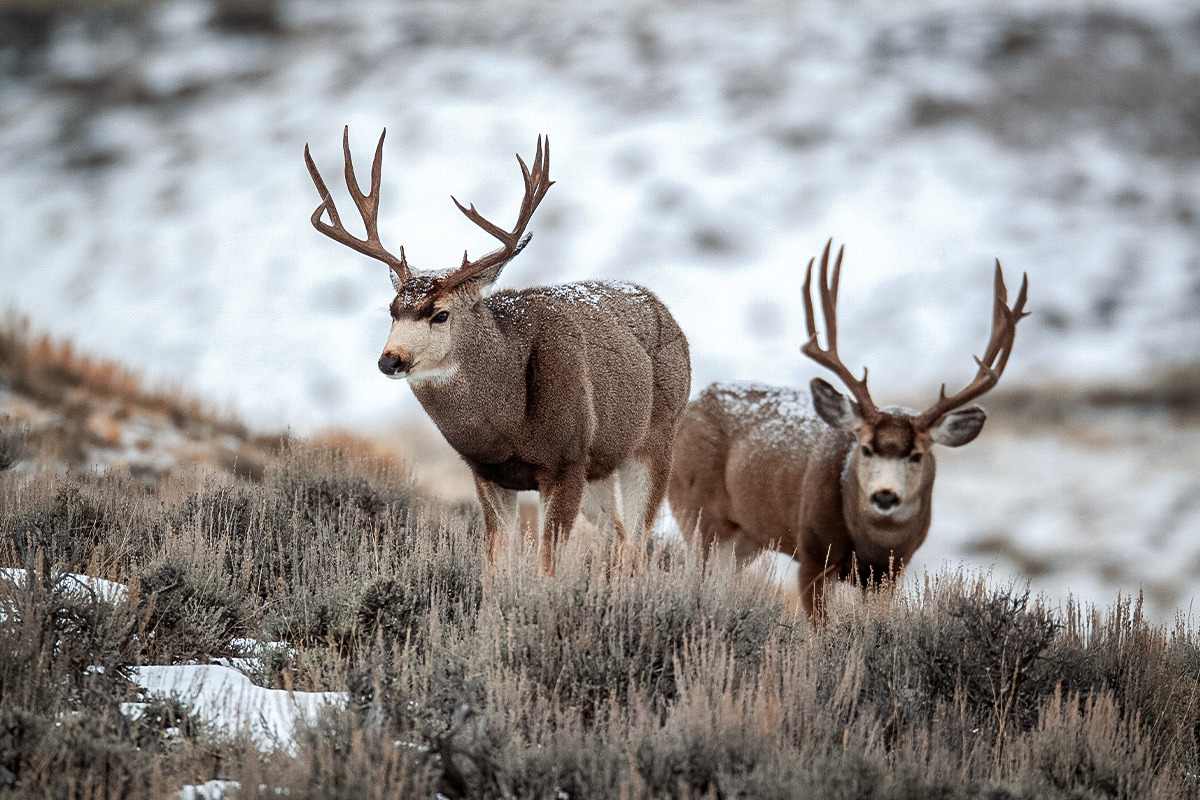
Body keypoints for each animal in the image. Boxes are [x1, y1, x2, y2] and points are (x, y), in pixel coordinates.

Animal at [304, 128, 691, 573]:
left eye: (440, 314)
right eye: (392, 310)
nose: (390, 359)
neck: (508, 425)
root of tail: (664, 309)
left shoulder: (567, 461)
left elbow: (546, 566)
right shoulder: (487, 472)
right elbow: (495, 562)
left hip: (656, 439)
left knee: (637, 544)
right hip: (602, 466)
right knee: (618, 537)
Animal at [672, 241, 1027, 618]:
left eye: (917, 455)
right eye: (866, 447)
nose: (884, 495)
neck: (871, 546)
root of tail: (691, 405)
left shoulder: (889, 572)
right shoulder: (812, 555)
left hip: (746, 537)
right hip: (698, 514)